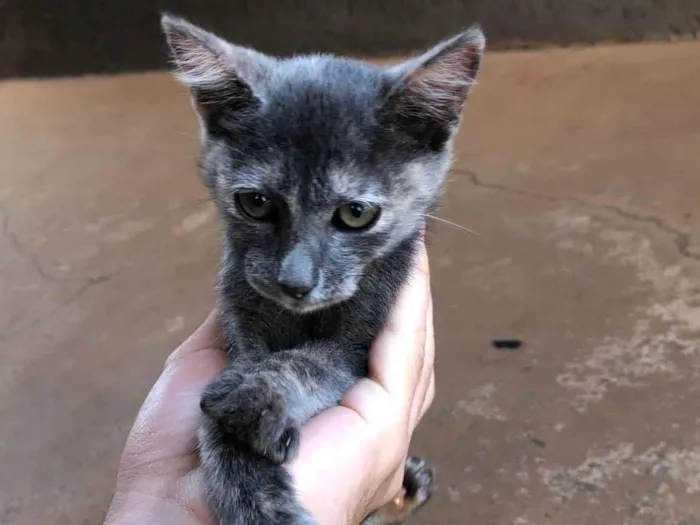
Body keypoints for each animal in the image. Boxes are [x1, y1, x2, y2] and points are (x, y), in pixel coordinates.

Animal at [161, 13, 484, 524]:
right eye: (255, 203)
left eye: (356, 214)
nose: (295, 282)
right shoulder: (239, 316)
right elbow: (220, 411)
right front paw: (256, 498)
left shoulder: (361, 339)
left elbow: (311, 363)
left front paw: (261, 395)